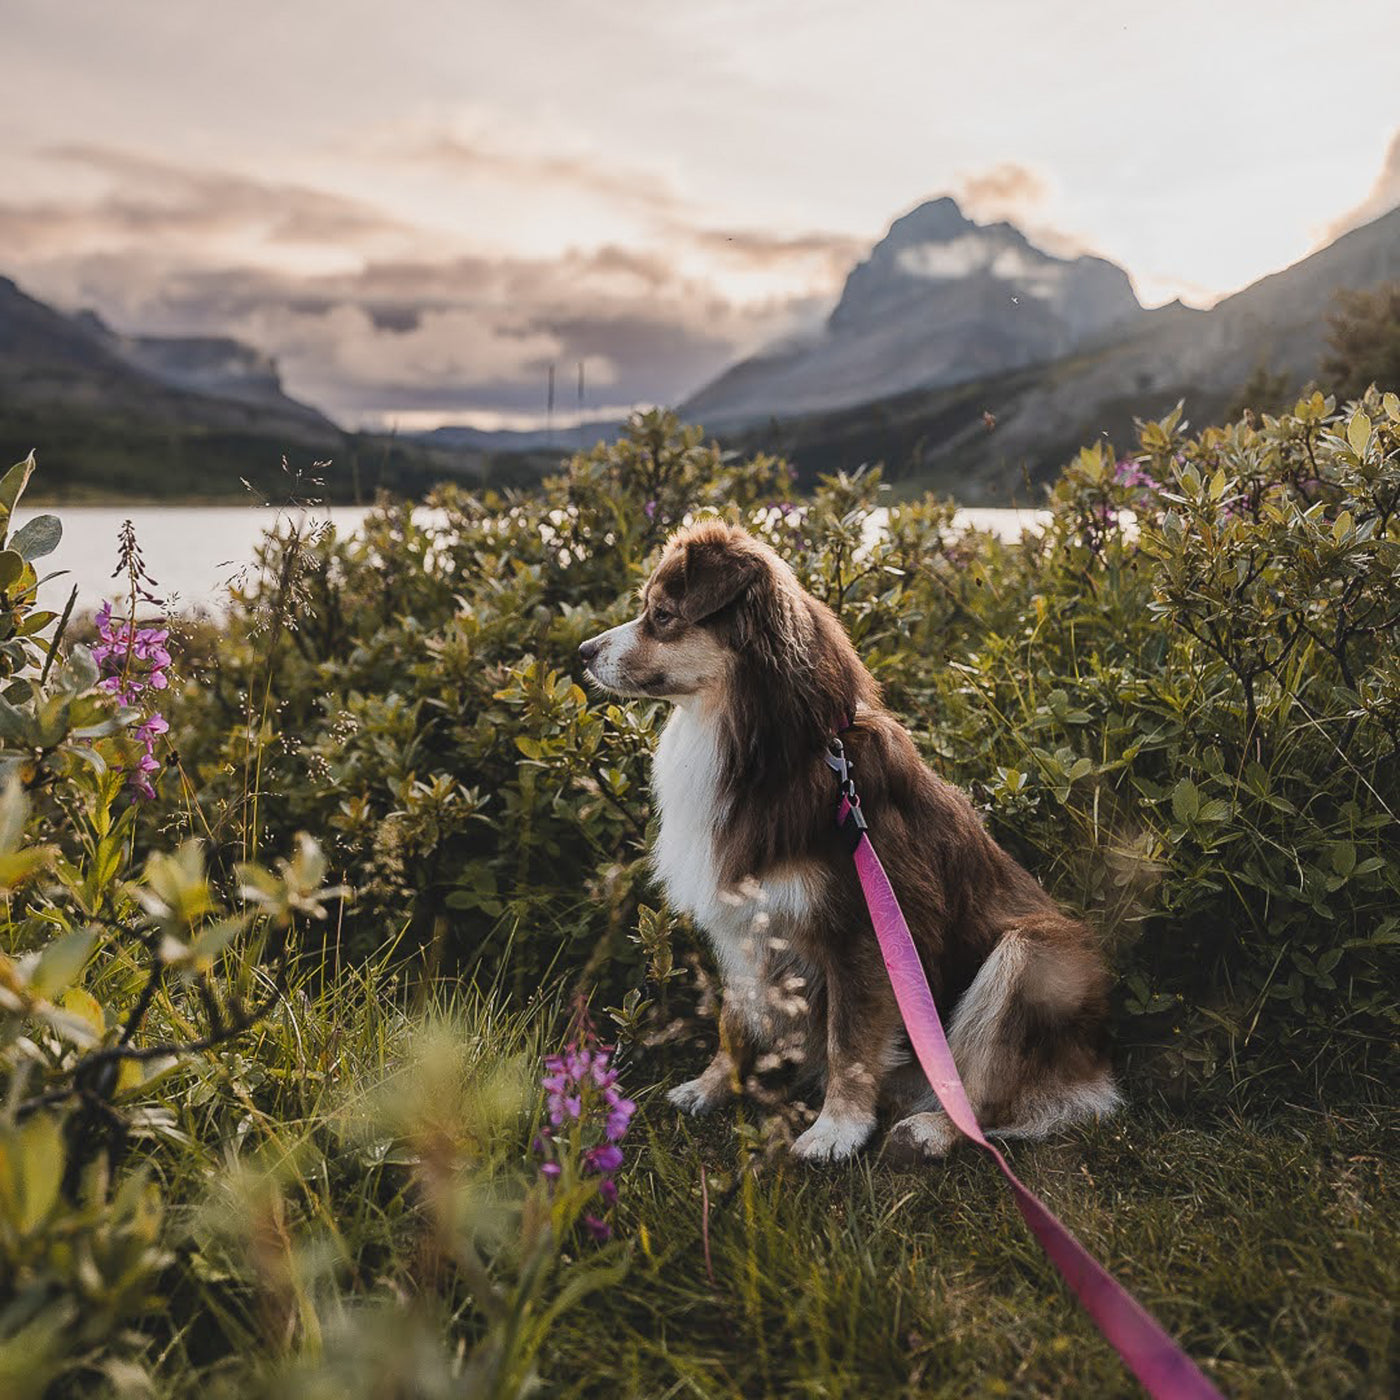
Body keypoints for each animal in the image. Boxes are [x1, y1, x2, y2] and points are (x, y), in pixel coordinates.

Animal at [576, 520, 1114, 1164]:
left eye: (661, 615)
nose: (582, 653)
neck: (774, 754)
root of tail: (1094, 1067)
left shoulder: (864, 927)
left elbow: (849, 1041)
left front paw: (837, 1129)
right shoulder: (745, 918)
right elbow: (735, 1018)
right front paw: (714, 1086)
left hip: (1034, 953)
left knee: (983, 1090)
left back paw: (933, 1130)